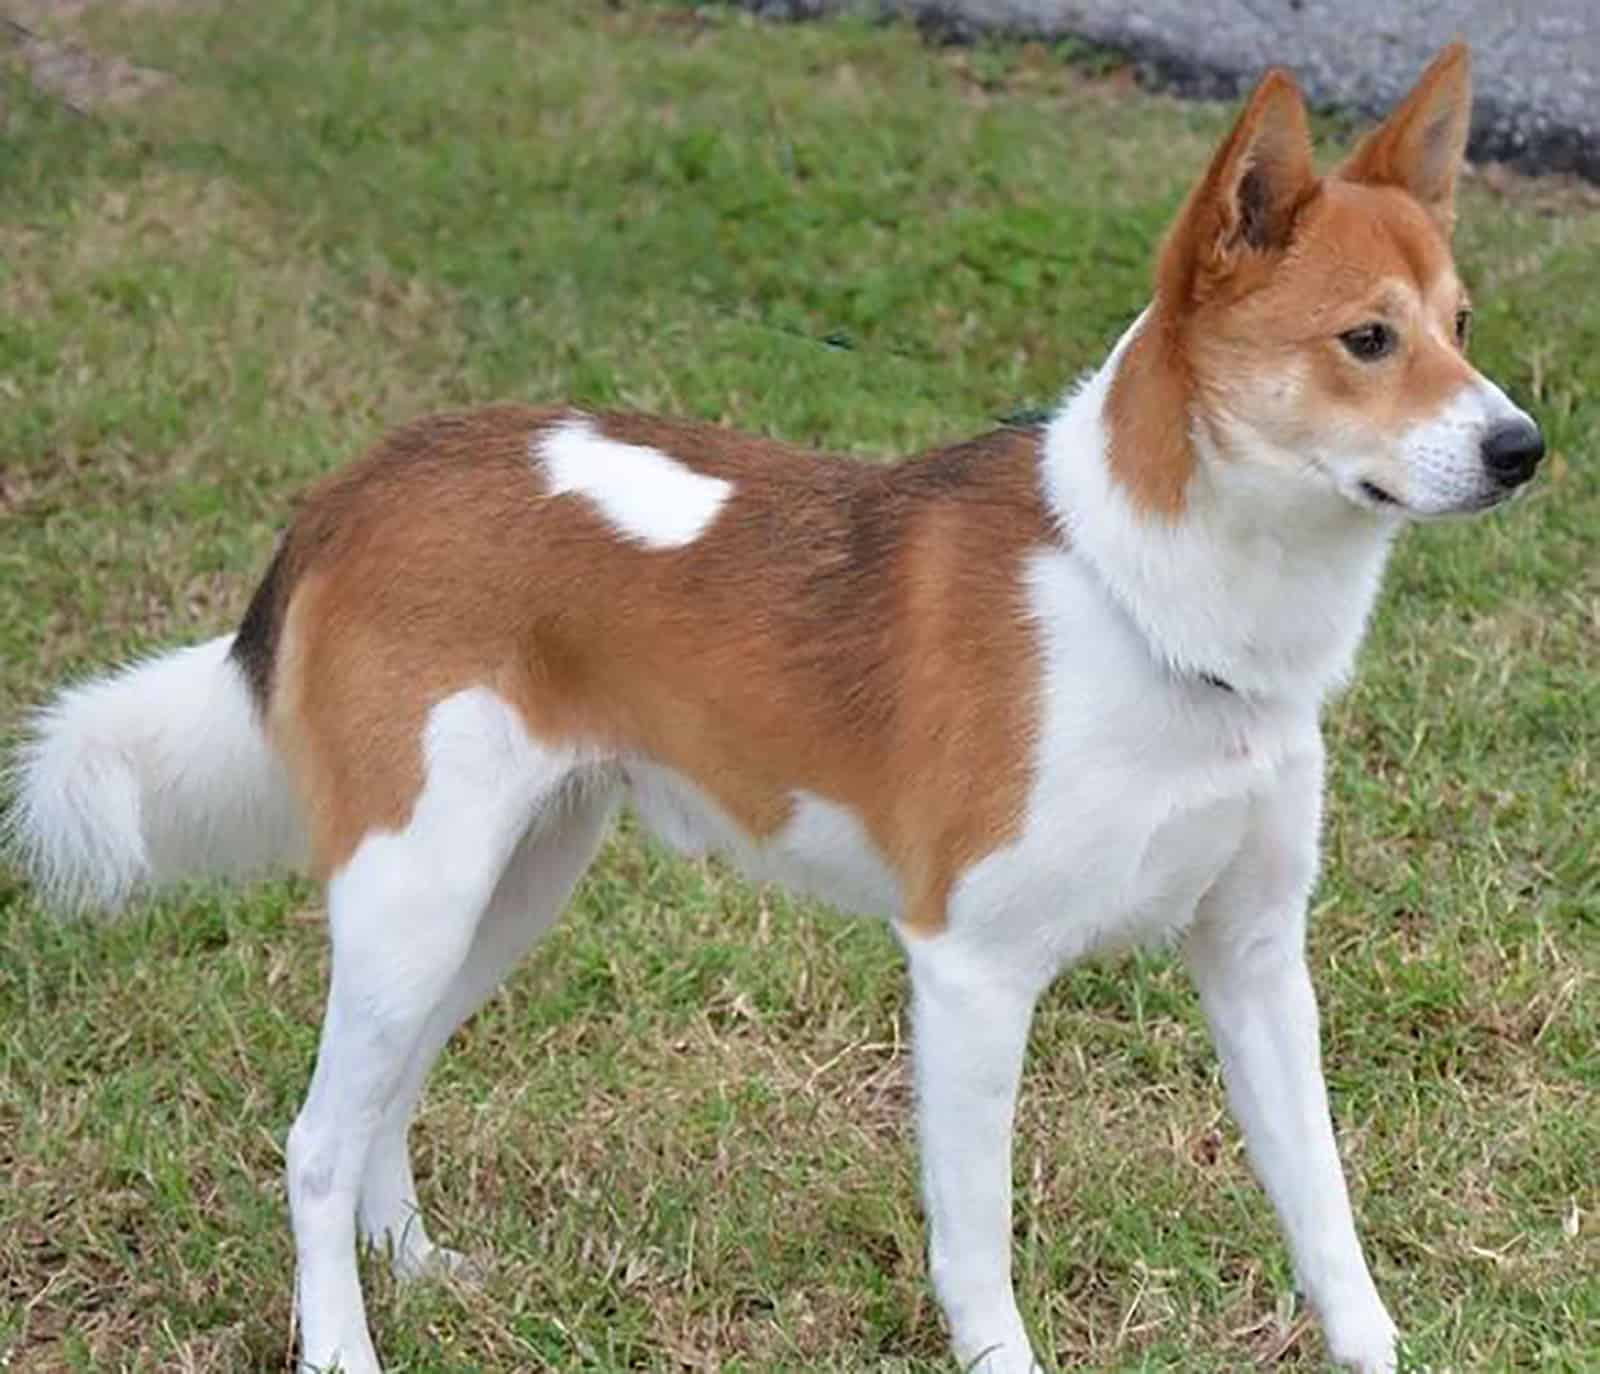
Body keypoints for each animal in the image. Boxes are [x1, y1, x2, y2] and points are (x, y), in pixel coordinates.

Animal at [6, 42, 1542, 1374]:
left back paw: (419, 1269)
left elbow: (1325, 1212)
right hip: (414, 891)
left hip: (503, 890)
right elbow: (976, 1246)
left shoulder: (1259, 961)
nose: (1524, 448)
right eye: (1365, 340)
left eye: (1463, 329)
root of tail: (353, 487)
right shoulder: (973, 971)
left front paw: (1376, 1349)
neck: (1161, 602)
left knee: (385, 1090)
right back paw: (344, 1340)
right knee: (316, 1140)